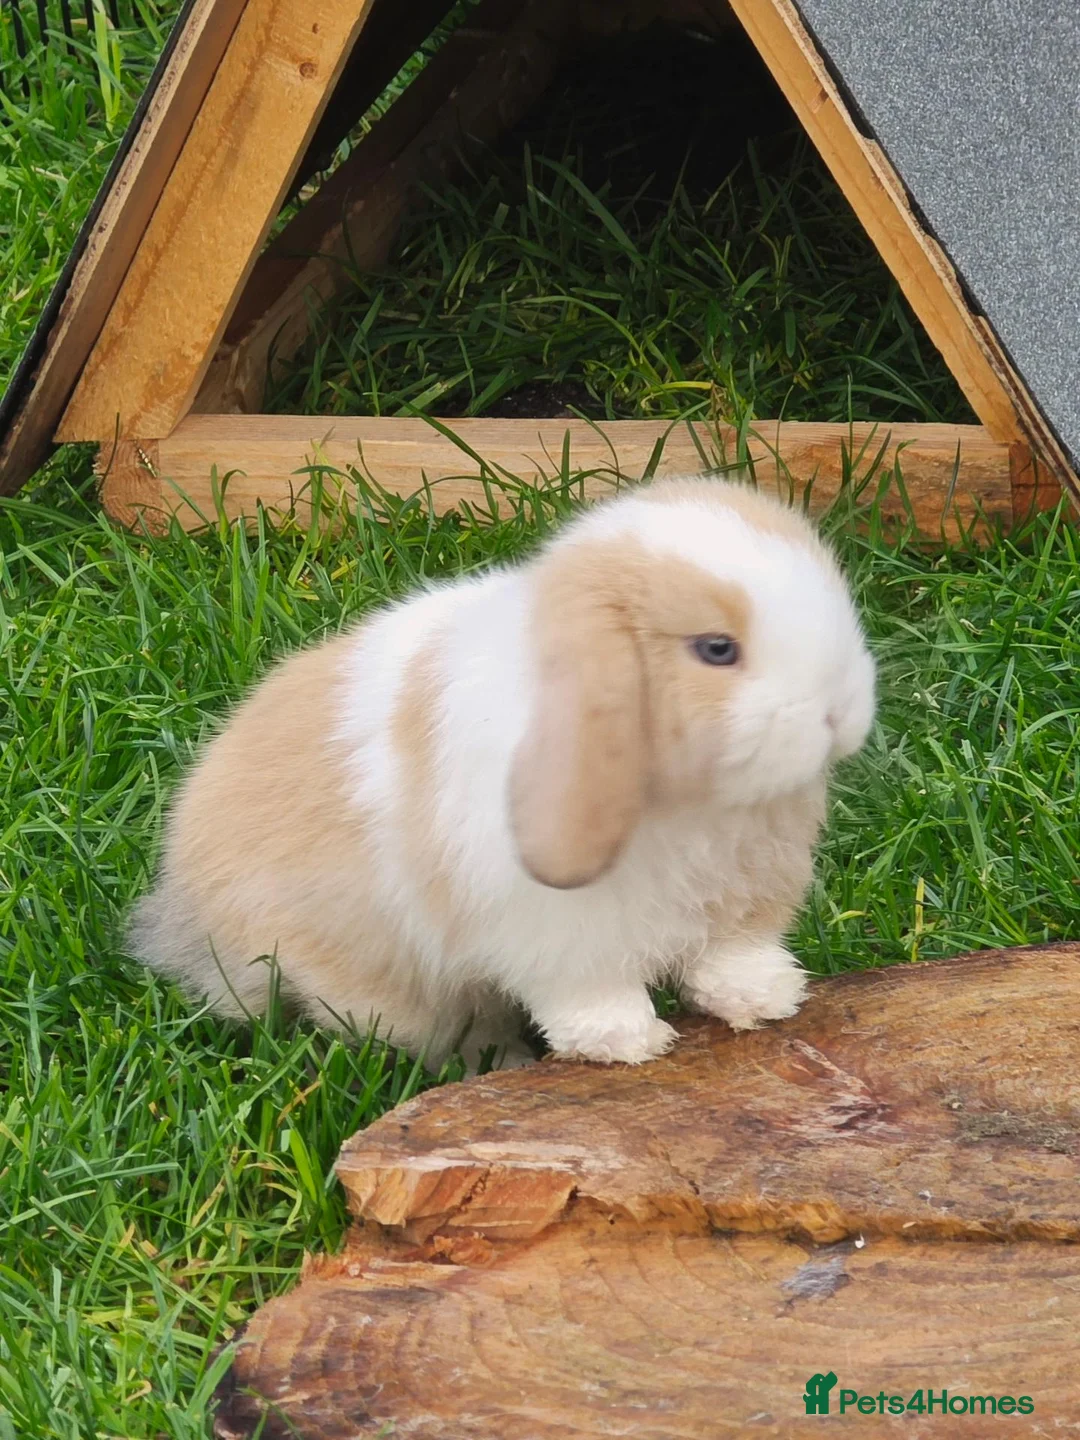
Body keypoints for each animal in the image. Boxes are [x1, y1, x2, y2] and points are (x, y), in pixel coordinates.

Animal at [128, 476, 875, 1067]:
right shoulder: (557, 928)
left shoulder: (740, 894)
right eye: (717, 649)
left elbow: (731, 954)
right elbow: (589, 986)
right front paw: (628, 1043)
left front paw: (769, 998)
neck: (690, 803)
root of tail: (185, 911)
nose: (842, 710)